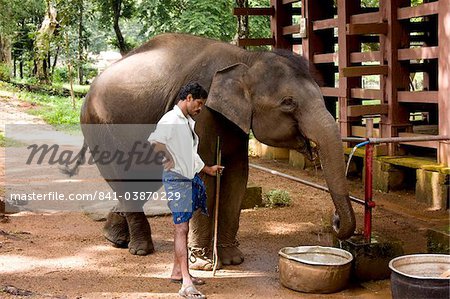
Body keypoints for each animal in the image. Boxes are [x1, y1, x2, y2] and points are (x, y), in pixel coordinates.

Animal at [73, 33, 356, 272]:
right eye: (288, 103)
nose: (335, 220)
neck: (246, 59)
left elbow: (237, 176)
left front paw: (232, 260)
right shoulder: (204, 114)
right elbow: (204, 174)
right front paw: (202, 264)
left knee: (143, 179)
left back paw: (115, 238)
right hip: (98, 126)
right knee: (126, 179)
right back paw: (141, 250)